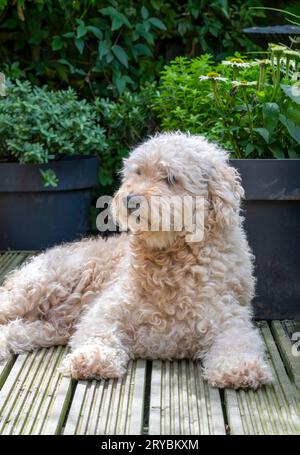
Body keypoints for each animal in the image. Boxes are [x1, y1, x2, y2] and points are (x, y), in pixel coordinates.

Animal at [0, 134, 272, 390]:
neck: (172, 261)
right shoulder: (106, 311)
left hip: (48, 328)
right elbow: (98, 334)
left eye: (171, 178)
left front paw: (241, 367)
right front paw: (92, 358)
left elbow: (239, 343)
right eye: (138, 172)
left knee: (17, 331)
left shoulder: (229, 318)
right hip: (36, 288)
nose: (130, 200)